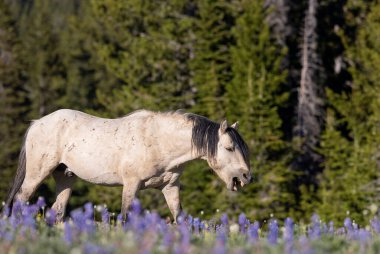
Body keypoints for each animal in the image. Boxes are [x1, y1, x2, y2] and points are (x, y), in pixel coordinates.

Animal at [5, 109, 252, 222]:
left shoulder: (170, 188)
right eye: (229, 147)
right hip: (37, 173)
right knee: (21, 199)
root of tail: (37, 123)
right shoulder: (131, 185)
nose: (246, 177)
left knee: (58, 210)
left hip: (65, 177)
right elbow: (124, 217)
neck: (159, 141)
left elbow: (179, 217)